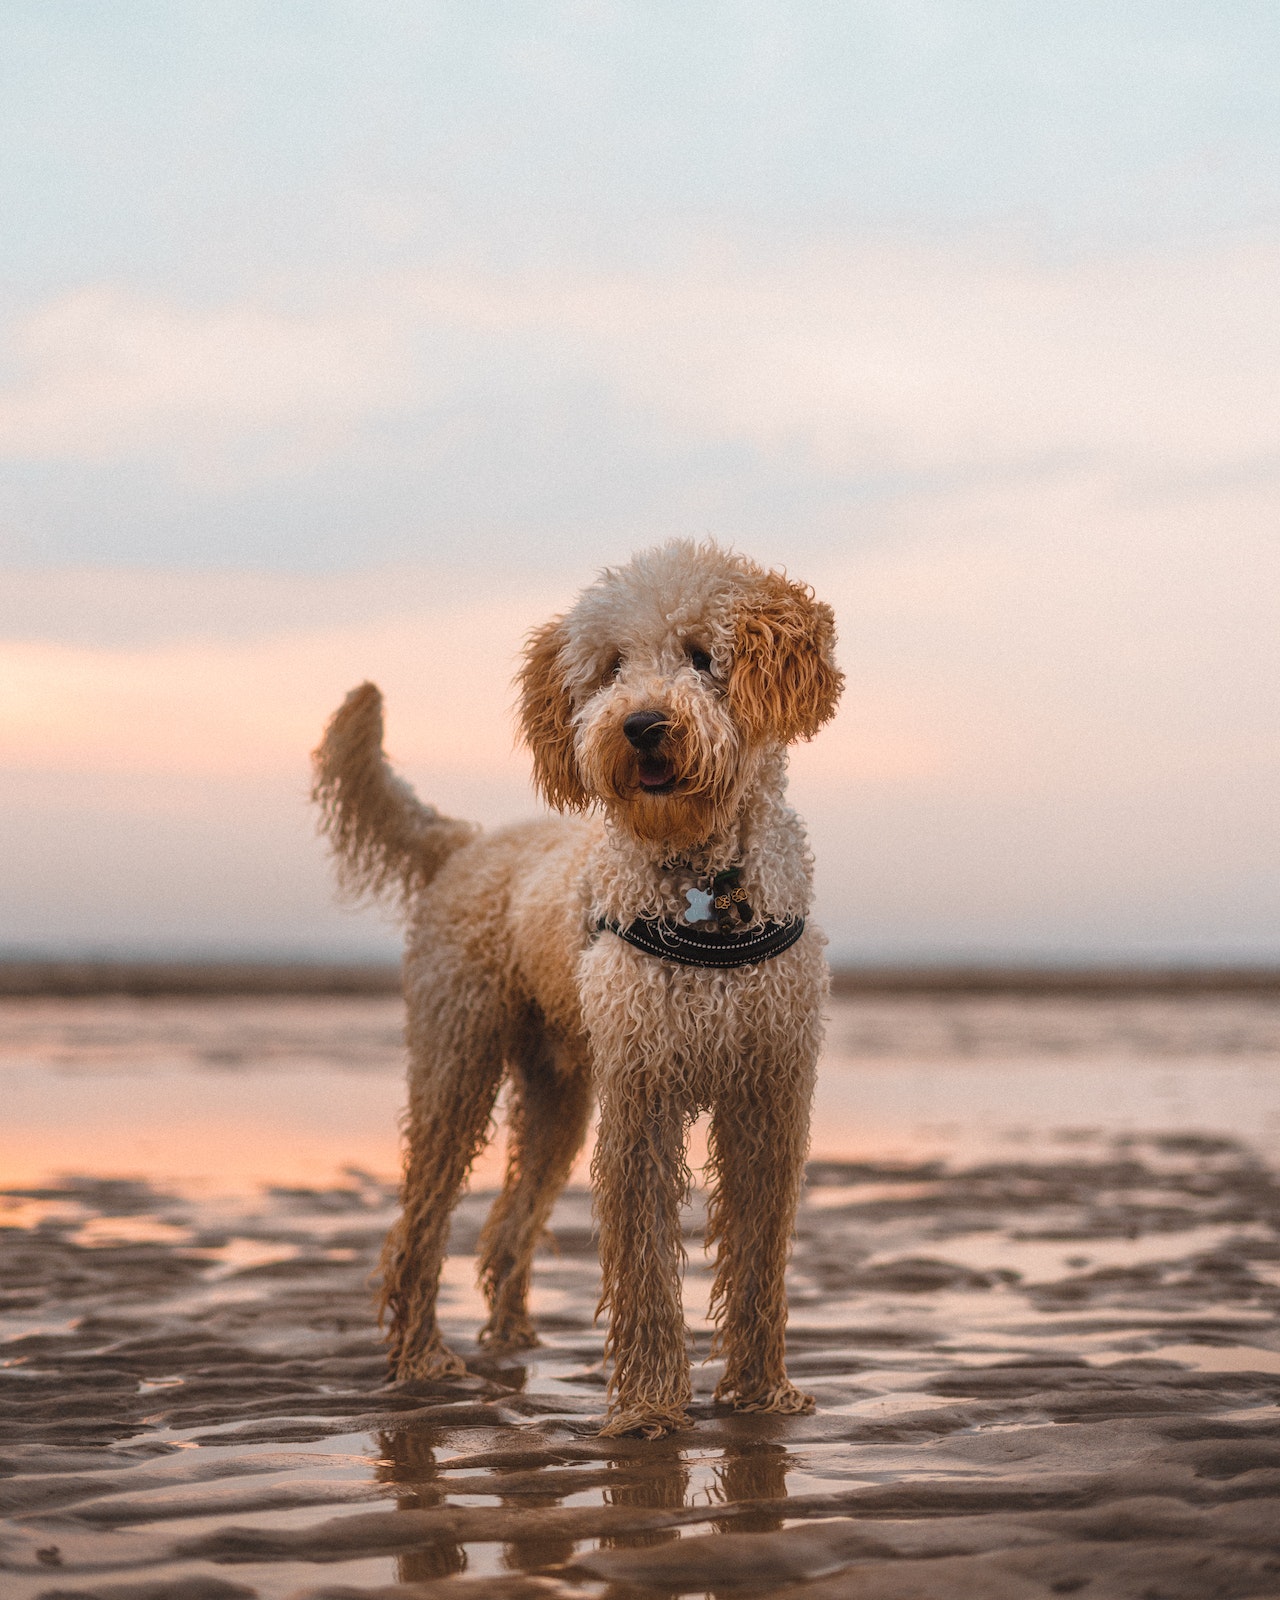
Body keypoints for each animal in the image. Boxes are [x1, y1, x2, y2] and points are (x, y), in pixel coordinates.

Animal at [315, 537, 844, 1440]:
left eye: (702, 655)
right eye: (609, 668)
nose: (642, 727)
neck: (704, 887)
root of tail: (464, 843)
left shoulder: (768, 1092)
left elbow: (761, 1256)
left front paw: (762, 1392)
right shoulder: (643, 1097)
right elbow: (643, 1261)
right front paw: (649, 1407)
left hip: (558, 1090)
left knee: (506, 1226)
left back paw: (513, 1338)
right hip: (456, 1064)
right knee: (419, 1230)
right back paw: (422, 1360)